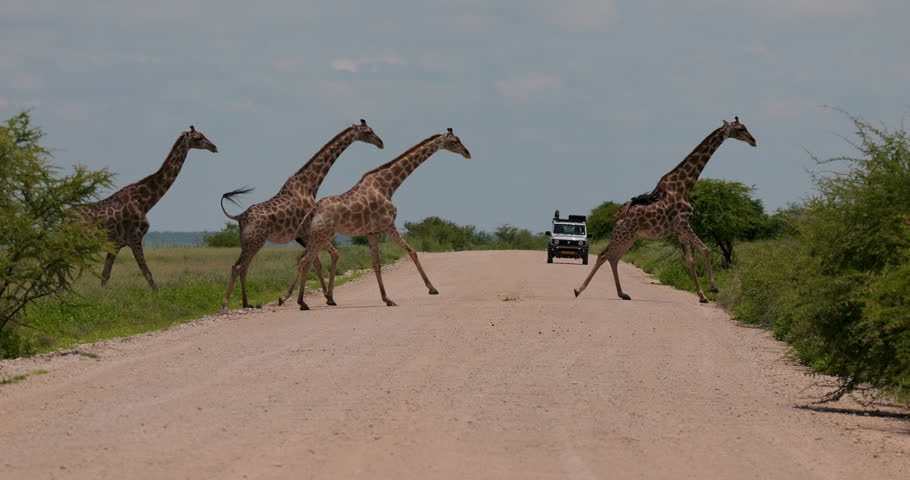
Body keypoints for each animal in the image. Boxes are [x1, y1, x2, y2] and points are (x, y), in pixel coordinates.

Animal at [78, 126, 218, 290]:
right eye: (198, 138)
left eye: (203, 135)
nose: (214, 147)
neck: (145, 202)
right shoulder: (135, 237)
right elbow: (147, 273)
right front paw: (158, 294)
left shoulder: (116, 243)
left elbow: (105, 275)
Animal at [219, 120, 384, 311]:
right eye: (368, 131)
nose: (381, 142)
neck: (309, 185)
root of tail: (239, 217)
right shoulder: (308, 233)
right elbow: (321, 259)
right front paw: (321, 297)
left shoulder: (304, 235)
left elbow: (315, 261)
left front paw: (322, 296)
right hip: (255, 241)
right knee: (239, 266)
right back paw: (226, 304)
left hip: (247, 242)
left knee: (241, 266)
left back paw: (246, 303)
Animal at [281, 128, 471, 310]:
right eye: (454, 141)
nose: (467, 153)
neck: (387, 186)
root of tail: (314, 209)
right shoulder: (388, 226)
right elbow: (412, 252)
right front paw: (432, 288)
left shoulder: (372, 232)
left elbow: (376, 264)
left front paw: (387, 299)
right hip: (322, 234)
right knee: (306, 260)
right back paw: (302, 302)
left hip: (317, 235)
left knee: (304, 259)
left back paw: (291, 298)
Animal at [574, 117, 757, 303]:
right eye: (740, 129)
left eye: (745, 127)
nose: (753, 141)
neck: (684, 186)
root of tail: (617, 217)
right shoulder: (683, 224)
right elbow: (705, 249)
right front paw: (713, 288)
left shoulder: (679, 230)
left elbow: (690, 260)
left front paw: (702, 295)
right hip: (624, 235)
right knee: (605, 255)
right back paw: (579, 290)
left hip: (629, 236)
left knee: (611, 257)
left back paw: (622, 294)